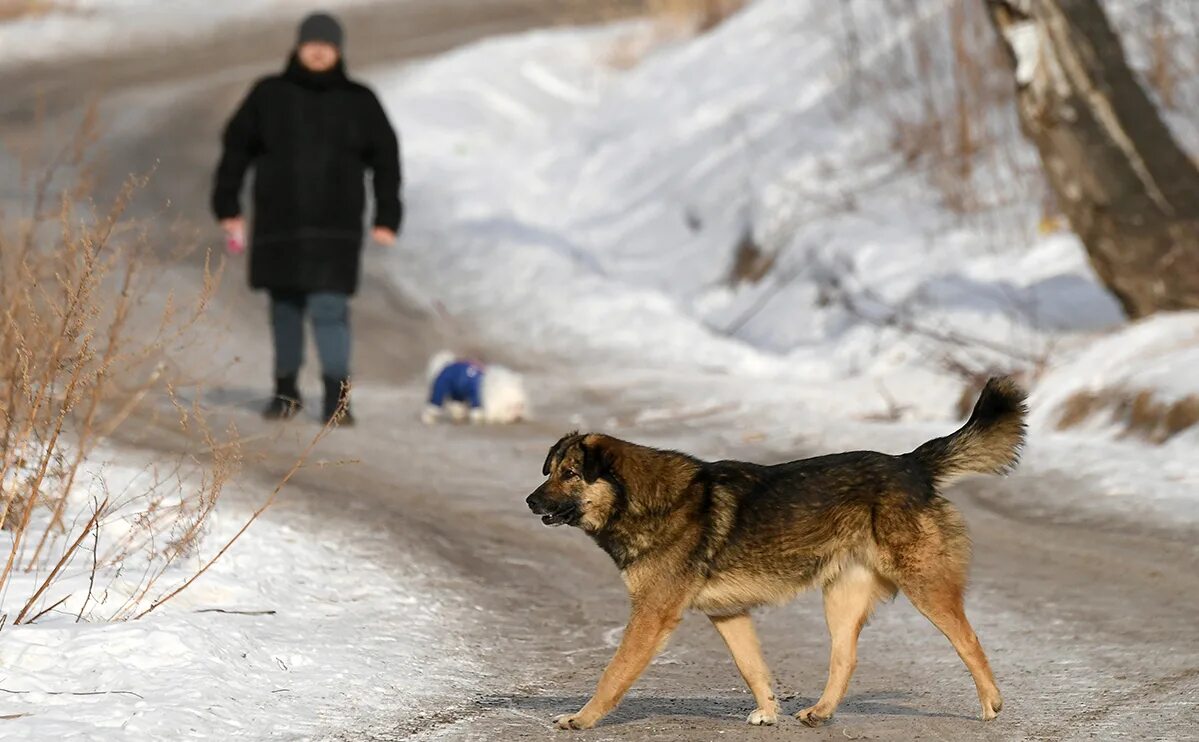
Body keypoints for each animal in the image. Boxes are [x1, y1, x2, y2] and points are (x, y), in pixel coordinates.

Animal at [525, 381, 1021, 728]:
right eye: (551, 471)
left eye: (570, 474)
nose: (530, 501)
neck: (642, 500)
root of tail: (910, 464)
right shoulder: (728, 613)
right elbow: (753, 668)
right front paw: (768, 712)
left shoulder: (651, 615)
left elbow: (613, 675)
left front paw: (581, 719)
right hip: (841, 600)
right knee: (845, 658)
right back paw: (820, 712)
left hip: (925, 585)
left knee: (969, 639)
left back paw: (991, 702)